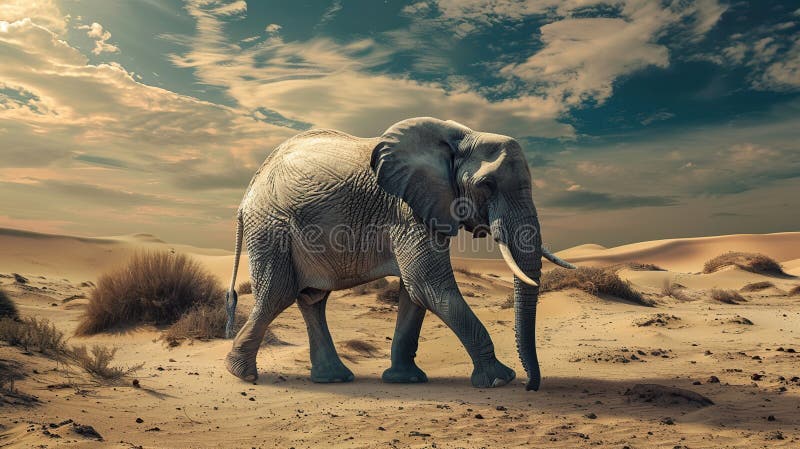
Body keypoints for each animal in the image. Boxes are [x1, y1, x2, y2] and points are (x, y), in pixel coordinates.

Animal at [223, 117, 575, 390]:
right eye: (486, 184)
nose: (530, 386)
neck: (463, 137)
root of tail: (247, 194)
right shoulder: (407, 209)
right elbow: (427, 285)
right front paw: (500, 379)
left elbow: (415, 293)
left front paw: (405, 380)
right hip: (271, 228)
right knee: (277, 293)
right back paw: (242, 374)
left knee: (312, 299)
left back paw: (332, 378)